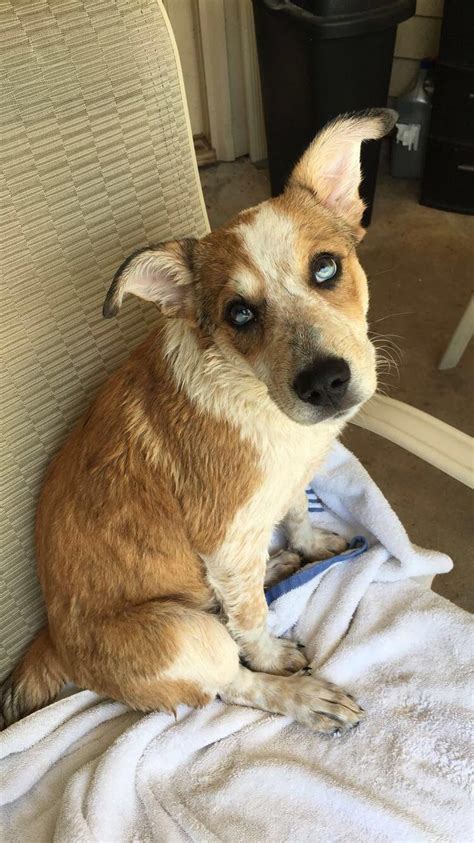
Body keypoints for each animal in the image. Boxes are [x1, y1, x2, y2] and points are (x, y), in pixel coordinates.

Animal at [2, 110, 396, 732]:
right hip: (186, 635)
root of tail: (54, 643)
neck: (254, 393)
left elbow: (296, 513)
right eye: (240, 314)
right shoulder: (225, 541)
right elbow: (253, 629)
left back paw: (277, 561)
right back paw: (301, 696)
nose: (325, 383)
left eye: (326, 267)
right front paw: (277, 660)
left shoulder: (286, 485)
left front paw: (307, 544)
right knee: (228, 676)